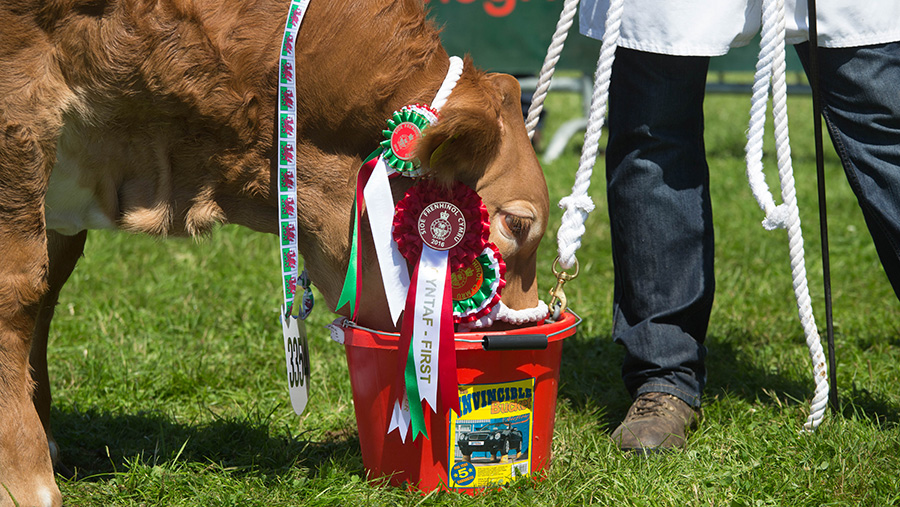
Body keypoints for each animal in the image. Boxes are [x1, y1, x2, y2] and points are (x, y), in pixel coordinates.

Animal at [0, 0, 548, 504]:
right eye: (517, 223)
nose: (524, 328)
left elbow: (45, 298)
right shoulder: (20, 112)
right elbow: (20, 293)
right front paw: (28, 479)